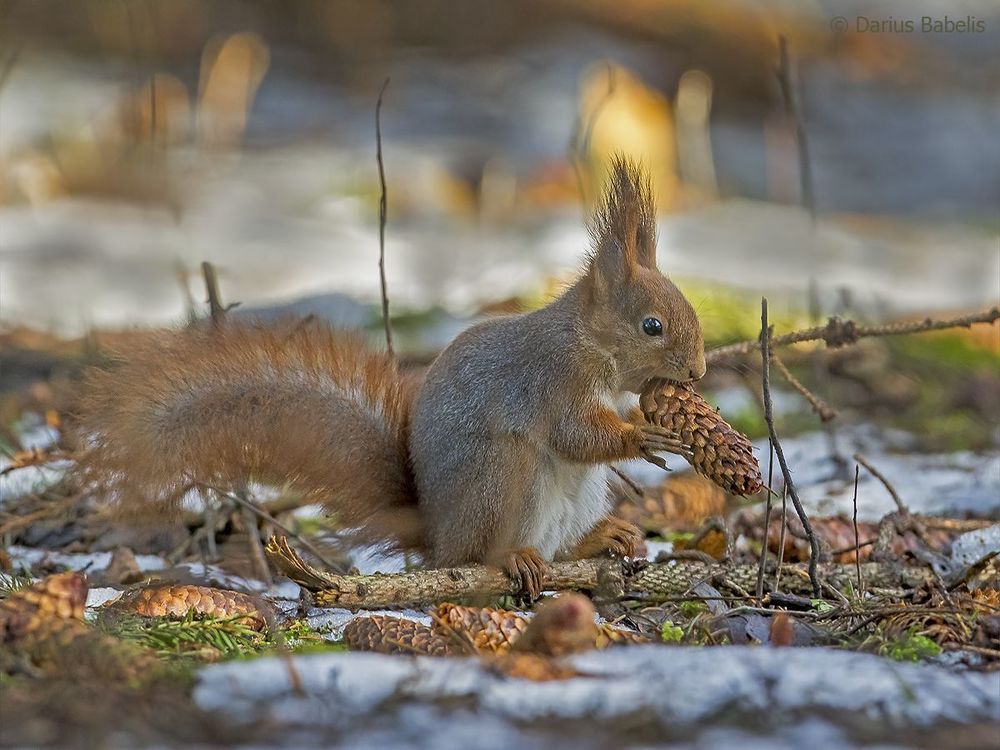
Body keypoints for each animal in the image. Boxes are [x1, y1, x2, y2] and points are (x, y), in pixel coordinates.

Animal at [79, 157, 706, 597]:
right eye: (652, 326)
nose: (699, 370)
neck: (589, 345)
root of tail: (438, 535)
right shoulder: (550, 383)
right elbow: (576, 434)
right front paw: (642, 434)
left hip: (576, 495)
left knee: (562, 551)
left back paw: (600, 537)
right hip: (503, 477)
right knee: (482, 554)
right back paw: (511, 557)